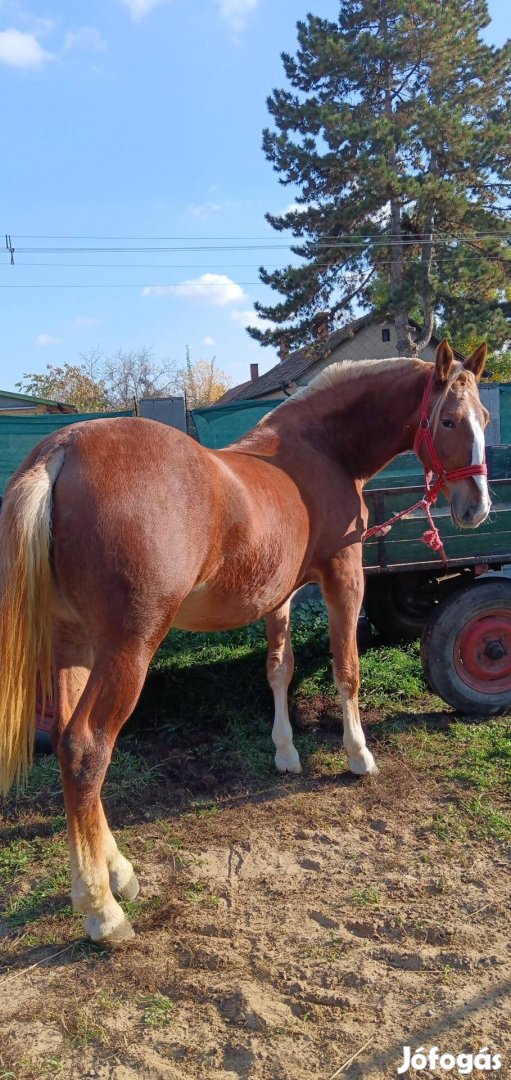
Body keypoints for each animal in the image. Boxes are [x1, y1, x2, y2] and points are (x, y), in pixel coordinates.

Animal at [0, 341, 486, 941]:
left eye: (484, 417)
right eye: (449, 419)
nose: (476, 506)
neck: (318, 450)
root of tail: (61, 450)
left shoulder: (279, 593)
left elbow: (279, 668)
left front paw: (285, 751)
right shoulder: (344, 576)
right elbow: (345, 669)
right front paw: (358, 755)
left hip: (73, 646)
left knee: (71, 747)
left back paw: (118, 873)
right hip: (126, 648)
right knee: (87, 747)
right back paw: (101, 910)